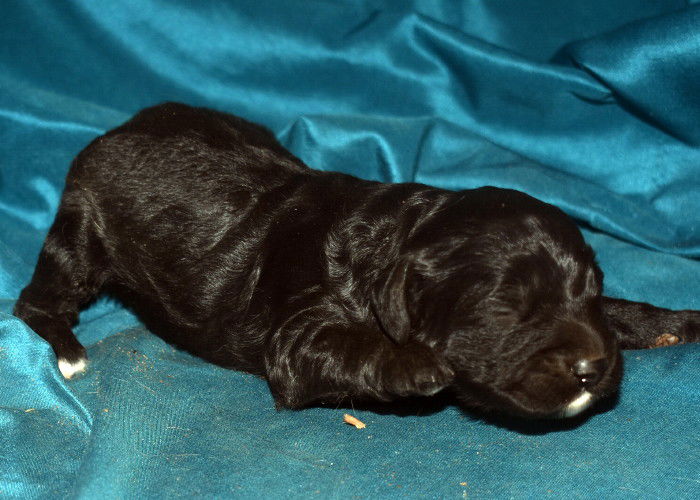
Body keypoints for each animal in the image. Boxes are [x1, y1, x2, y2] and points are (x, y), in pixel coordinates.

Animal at [13, 102, 700, 419]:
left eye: (590, 290)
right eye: (507, 309)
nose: (592, 368)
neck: (399, 237)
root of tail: (114, 130)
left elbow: (625, 311)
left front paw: (677, 323)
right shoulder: (296, 334)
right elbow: (345, 346)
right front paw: (419, 363)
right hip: (81, 235)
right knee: (34, 301)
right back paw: (70, 353)